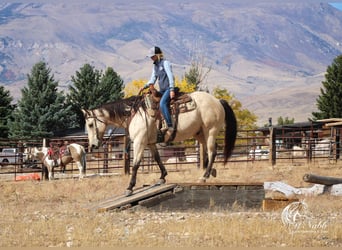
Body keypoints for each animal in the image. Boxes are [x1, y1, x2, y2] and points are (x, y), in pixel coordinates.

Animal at [83, 91, 238, 196]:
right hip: (200, 134)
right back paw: (211, 171)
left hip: (210, 131)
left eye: (90, 124)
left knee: (212, 151)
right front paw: (162, 177)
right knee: (209, 150)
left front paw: (129, 188)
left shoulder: (139, 142)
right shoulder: (150, 143)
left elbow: (136, 164)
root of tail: (217, 101)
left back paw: (204, 177)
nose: (93, 146)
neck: (134, 113)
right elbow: (157, 159)